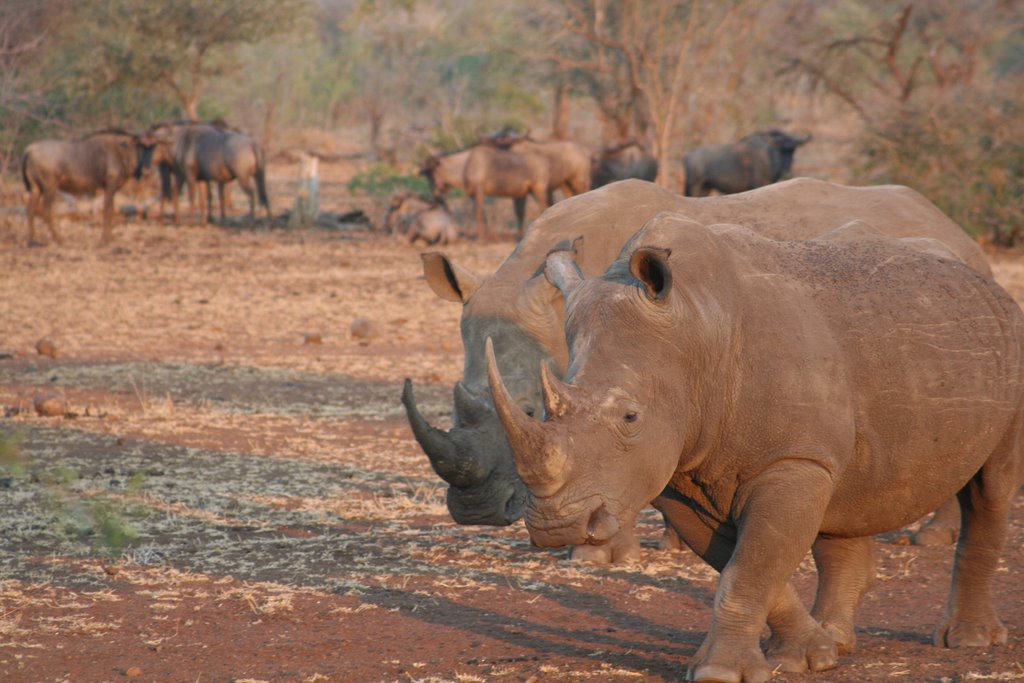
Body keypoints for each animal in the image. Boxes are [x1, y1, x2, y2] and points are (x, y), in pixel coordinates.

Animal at [401, 179, 991, 565]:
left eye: (529, 409)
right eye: (457, 397)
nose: (475, 512)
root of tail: (956, 231)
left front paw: (599, 558)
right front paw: (663, 543)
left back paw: (931, 540)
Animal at [489, 211, 1024, 679]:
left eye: (629, 417)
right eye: (540, 412)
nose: (558, 527)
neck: (695, 328)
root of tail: (984, 280)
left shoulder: (791, 458)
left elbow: (749, 568)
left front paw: (721, 673)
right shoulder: (681, 477)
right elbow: (750, 565)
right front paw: (809, 656)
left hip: (1006, 340)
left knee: (990, 490)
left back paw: (968, 640)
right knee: (846, 498)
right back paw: (839, 639)